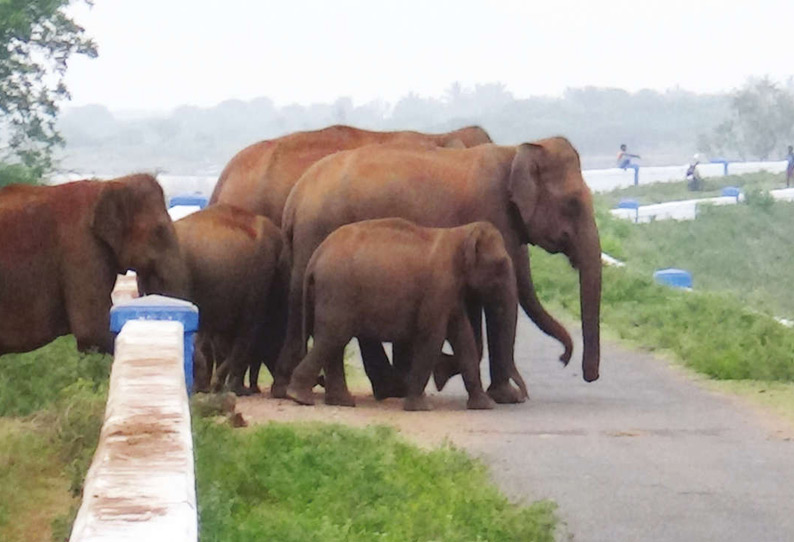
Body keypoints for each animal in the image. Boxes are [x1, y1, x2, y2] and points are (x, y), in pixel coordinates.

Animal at [144, 204, 286, 396]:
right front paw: (233, 388)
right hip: (177, 279)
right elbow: (247, 334)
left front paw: (221, 386)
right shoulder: (260, 284)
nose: (255, 389)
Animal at [286, 218, 524, 412]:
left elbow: (463, 337)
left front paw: (484, 405)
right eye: (501, 264)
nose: (522, 397)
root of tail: (315, 257)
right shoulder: (438, 287)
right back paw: (300, 397)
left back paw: (340, 401)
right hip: (337, 290)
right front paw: (420, 407)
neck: (460, 233)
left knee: (333, 342)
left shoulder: (451, 292)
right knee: (334, 337)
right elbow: (432, 337)